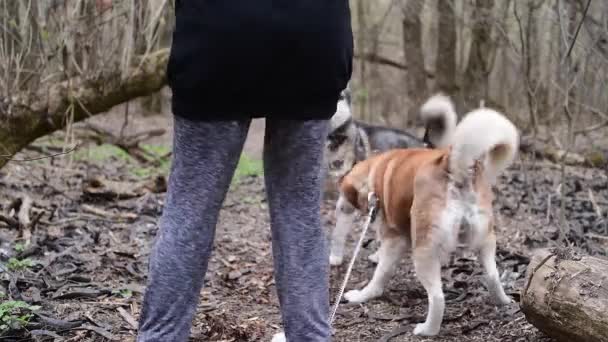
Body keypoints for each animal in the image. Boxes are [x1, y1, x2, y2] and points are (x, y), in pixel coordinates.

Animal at [332, 107, 516, 336]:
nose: (339, 208)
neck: (376, 170)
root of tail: (450, 162)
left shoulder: (395, 239)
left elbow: (380, 274)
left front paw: (362, 295)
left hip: (423, 251)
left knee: (437, 298)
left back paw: (426, 329)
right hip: (484, 239)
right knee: (492, 275)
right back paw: (504, 301)